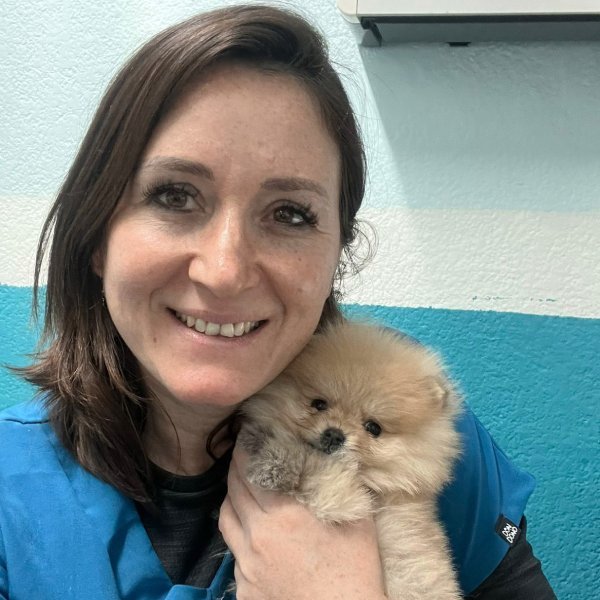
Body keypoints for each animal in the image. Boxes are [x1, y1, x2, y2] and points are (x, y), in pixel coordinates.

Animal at [237, 319, 462, 599]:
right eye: (318, 404)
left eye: (373, 428)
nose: (334, 434)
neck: (370, 483)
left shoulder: (344, 499)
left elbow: (315, 464)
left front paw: (275, 461)